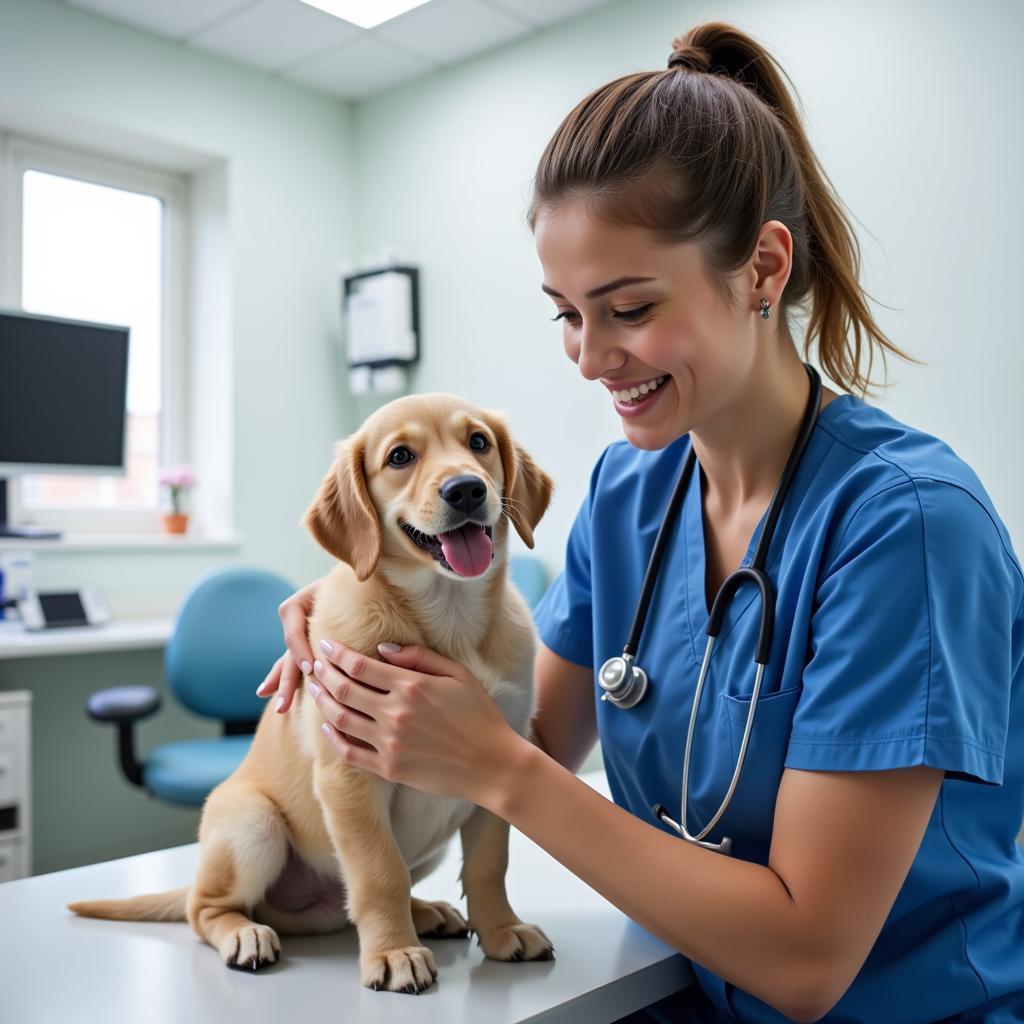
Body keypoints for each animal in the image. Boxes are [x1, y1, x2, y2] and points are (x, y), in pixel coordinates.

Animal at [68, 389, 557, 991]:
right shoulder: (349, 775)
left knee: (345, 908)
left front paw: (502, 931)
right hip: (252, 823)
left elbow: (489, 865)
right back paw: (246, 934)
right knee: (207, 908)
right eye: (400, 457)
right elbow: (379, 872)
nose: (466, 489)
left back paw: (425, 913)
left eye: (479, 442)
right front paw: (393, 953)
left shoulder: (498, 766)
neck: (451, 618)